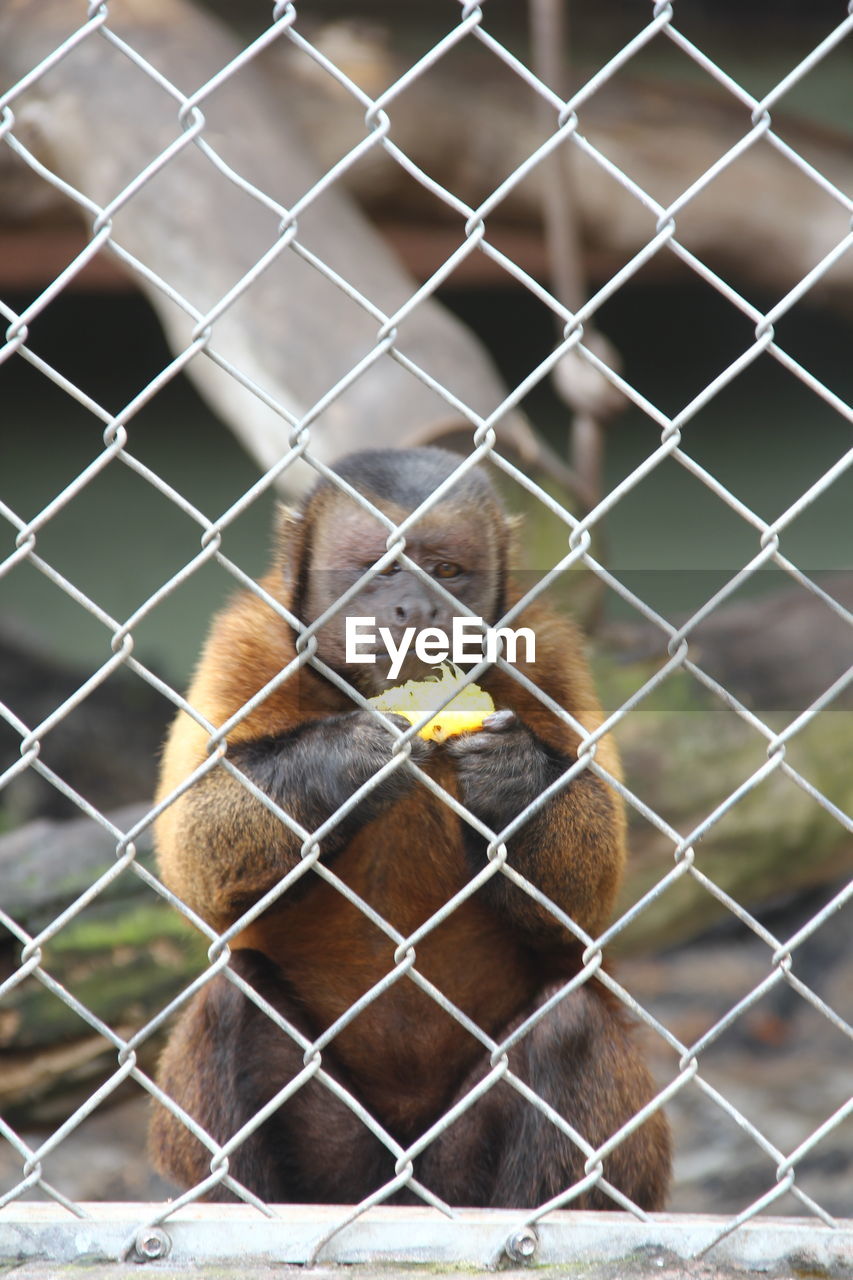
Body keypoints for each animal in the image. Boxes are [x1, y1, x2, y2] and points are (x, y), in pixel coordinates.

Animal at [147, 448, 671, 1208]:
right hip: (342, 1170)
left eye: (447, 571)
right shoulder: (250, 641)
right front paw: (347, 760)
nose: (416, 609)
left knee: (565, 1024)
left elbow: (583, 905)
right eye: (381, 569)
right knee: (232, 1001)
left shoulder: (544, 652)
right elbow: (193, 851)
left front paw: (514, 778)